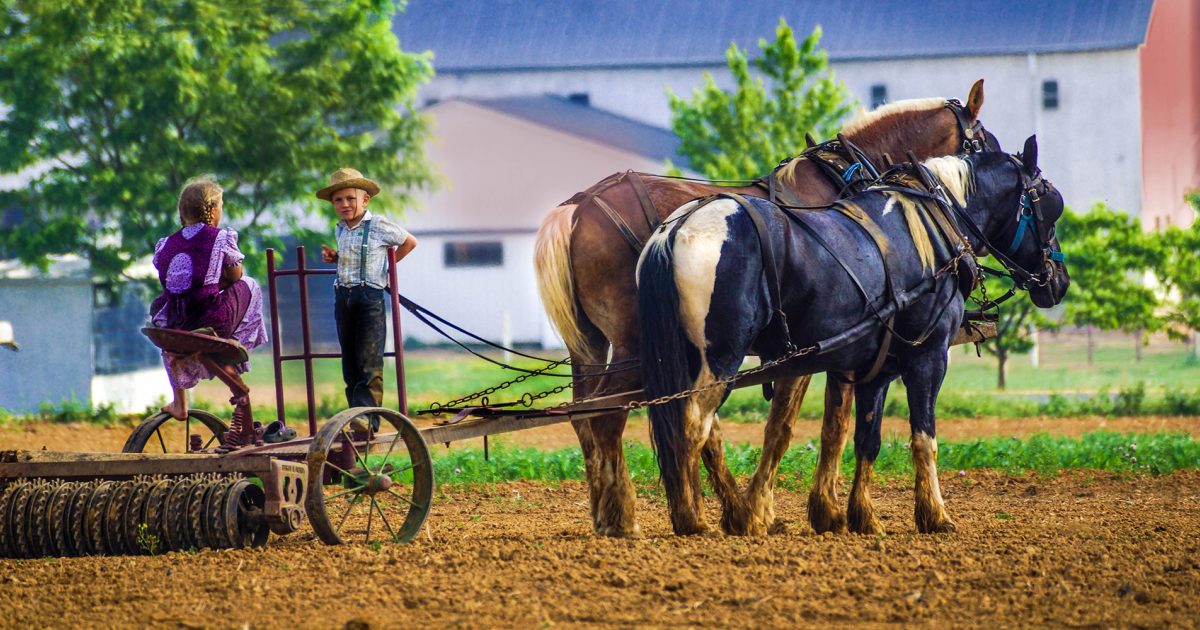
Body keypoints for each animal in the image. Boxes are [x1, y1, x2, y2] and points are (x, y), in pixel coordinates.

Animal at [535, 78, 993, 532]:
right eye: (982, 142)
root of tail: (578, 208)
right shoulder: (828, 348)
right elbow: (817, 425)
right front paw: (817, 510)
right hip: (635, 344)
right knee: (612, 416)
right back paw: (630, 517)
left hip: (591, 347)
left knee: (584, 415)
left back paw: (615, 511)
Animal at [638, 135, 1070, 532]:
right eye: (1051, 205)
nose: (1058, 281)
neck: (931, 226)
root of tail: (676, 228)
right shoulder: (928, 357)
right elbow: (923, 437)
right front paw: (935, 515)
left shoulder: (876, 369)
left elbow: (867, 439)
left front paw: (863, 517)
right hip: (721, 360)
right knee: (693, 427)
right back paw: (694, 518)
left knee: (688, 427)